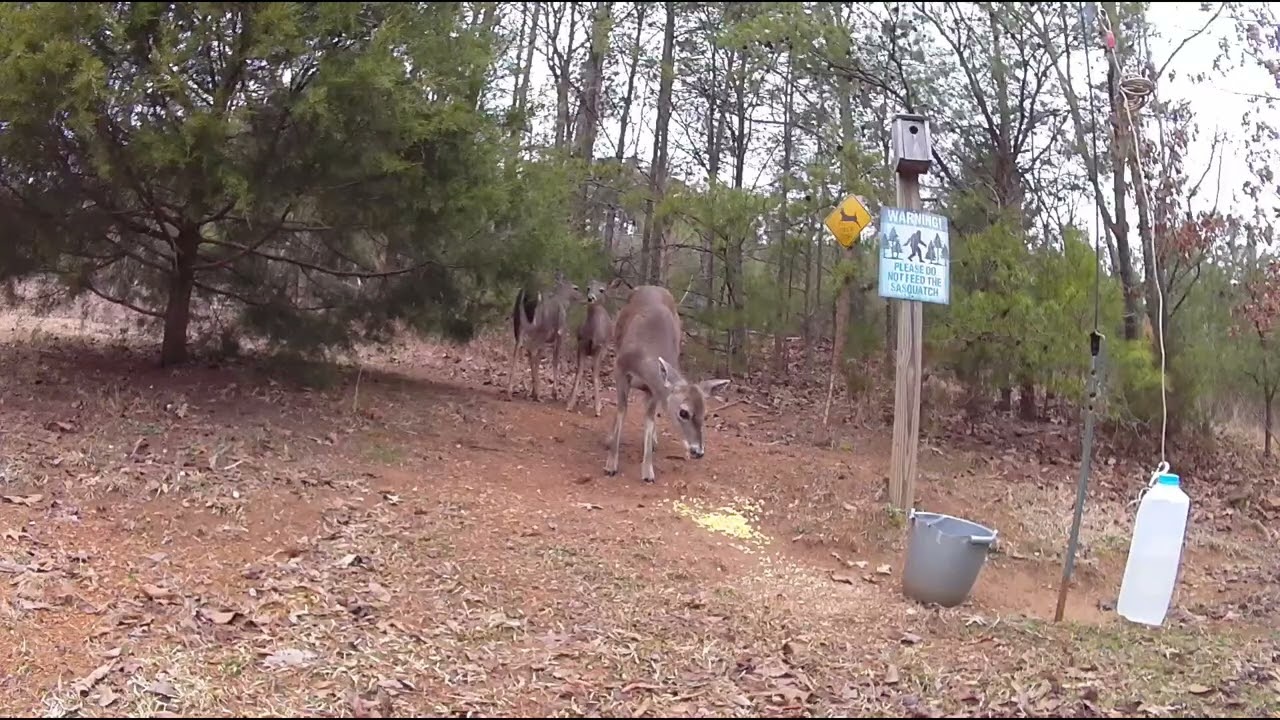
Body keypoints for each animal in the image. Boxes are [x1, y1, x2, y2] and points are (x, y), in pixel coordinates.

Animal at [506, 271, 584, 402]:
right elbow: (554, 360)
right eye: (576, 288)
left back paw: (512, 393)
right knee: (532, 351)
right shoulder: (559, 333)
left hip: (519, 326)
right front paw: (554, 393)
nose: (585, 297)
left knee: (519, 349)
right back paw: (537, 395)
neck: (563, 303)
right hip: (541, 328)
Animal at [565, 277, 625, 417]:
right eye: (588, 288)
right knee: (585, 370)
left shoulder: (599, 347)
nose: (590, 298)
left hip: (604, 349)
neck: (592, 334)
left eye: (602, 290)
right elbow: (579, 371)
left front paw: (598, 408)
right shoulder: (581, 344)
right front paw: (570, 404)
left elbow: (595, 374)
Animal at [604, 285, 730, 483]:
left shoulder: (654, 389)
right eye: (683, 412)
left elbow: (648, 419)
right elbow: (622, 410)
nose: (698, 451)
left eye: (706, 414)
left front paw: (648, 472)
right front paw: (611, 464)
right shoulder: (620, 369)